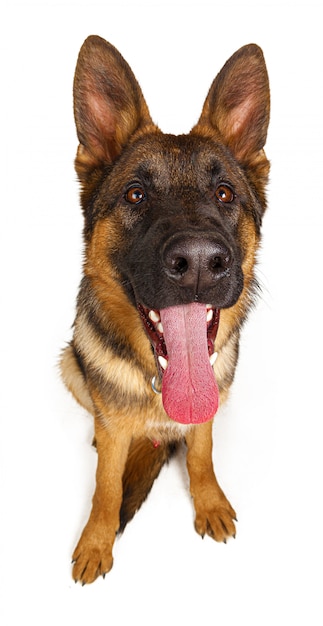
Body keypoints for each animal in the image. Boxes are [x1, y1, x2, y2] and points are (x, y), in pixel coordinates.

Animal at [60, 34, 270, 584]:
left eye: (225, 193)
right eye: (136, 194)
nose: (198, 263)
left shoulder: (206, 419)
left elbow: (201, 455)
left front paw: (209, 501)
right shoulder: (113, 433)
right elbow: (107, 486)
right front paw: (97, 541)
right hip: (70, 366)